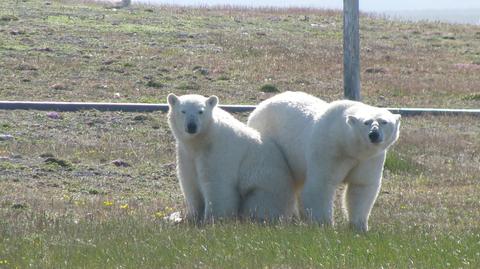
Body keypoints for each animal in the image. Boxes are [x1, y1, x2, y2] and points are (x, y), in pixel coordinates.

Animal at [168, 93, 296, 221]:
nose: (191, 126)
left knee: (259, 204)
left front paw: (211, 219)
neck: (202, 140)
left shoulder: (217, 151)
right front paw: (191, 216)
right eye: (183, 111)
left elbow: (217, 185)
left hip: (266, 186)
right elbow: (189, 182)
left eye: (201, 111)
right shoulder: (186, 154)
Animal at [248, 91, 402, 230]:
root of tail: (260, 105)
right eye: (366, 122)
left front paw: (360, 226)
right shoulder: (328, 150)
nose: (374, 134)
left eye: (384, 122)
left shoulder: (369, 159)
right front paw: (325, 224)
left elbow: (361, 186)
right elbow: (321, 184)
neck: (346, 144)